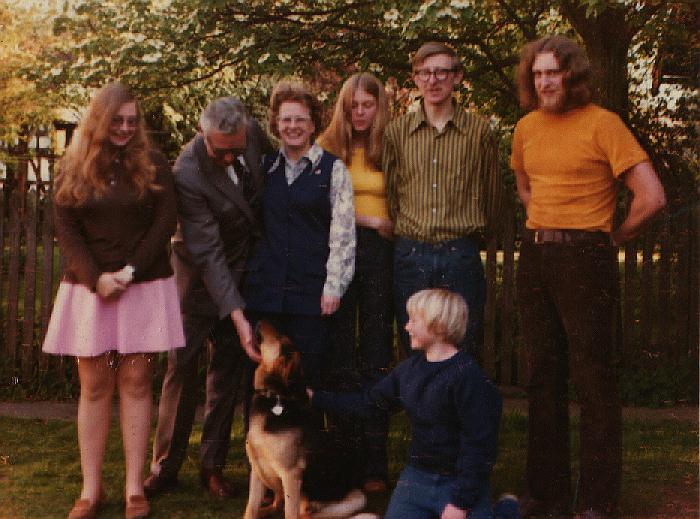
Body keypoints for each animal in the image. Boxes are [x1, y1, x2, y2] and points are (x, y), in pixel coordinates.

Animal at [245, 320, 380, 519]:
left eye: (279, 338)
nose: (261, 320)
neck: (275, 397)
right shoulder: (256, 470)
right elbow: (251, 508)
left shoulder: (291, 475)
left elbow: (290, 513)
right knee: (278, 504)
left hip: (355, 498)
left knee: (306, 513)